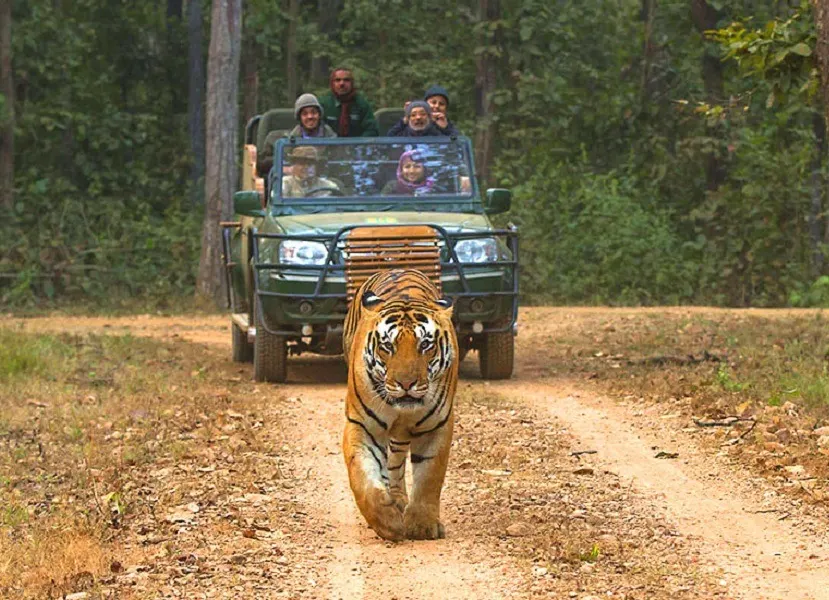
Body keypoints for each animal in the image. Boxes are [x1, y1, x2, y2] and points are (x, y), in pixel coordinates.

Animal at [342, 269, 459, 541]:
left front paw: (422, 525)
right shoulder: (361, 425)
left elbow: (429, 478)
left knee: (395, 463)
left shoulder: (436, 427)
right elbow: (362, 476)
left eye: (425, 345)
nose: (406, 383)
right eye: (387, 346)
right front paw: (387, 522)